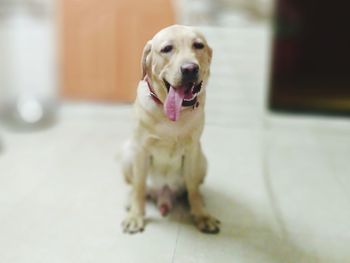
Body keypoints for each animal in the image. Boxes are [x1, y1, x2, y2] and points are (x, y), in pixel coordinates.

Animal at [120, 25, 219, 235]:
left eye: (198, 45)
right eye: (167, 49)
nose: (190, 69)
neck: (173, 117)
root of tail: (163, 195)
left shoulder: (192, 151)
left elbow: (192, 188)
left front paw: (201, 215)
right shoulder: (140, 150)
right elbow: (139, 187)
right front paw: (135, 216)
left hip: (202, 160)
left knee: (193, 188)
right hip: (126, 154)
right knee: (136, 185)